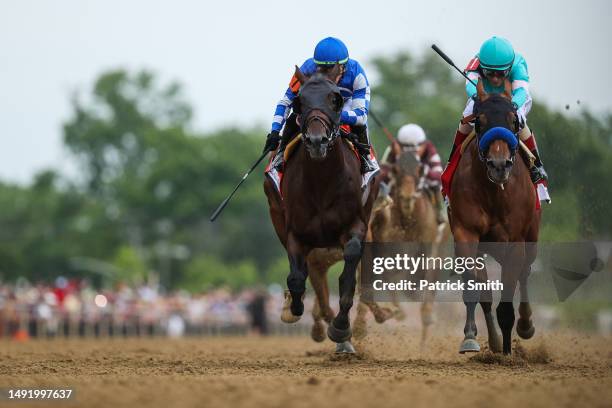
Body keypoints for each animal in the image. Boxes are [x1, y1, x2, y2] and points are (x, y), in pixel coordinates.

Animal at [262, 65, 378, 352]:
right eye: (299, 102)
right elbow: (296, 278)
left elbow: (348, 277)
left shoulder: (356, 226)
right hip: (276, 212)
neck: (323, 182)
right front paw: (293, 308)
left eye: (335, 100)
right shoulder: (295, 233)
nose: (317, 141)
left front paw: (341, 328)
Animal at [450, 79, 540, 354]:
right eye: (479, 121)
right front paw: (471, 338)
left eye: (514, 121)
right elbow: (476, 290)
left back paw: (525, 325)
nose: (499, 165)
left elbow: (508, 301)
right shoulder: (466, 234)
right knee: (487, 294)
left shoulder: (515, 242)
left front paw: (509, 352)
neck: (494, 191)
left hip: (531, 239)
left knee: (525, 272)